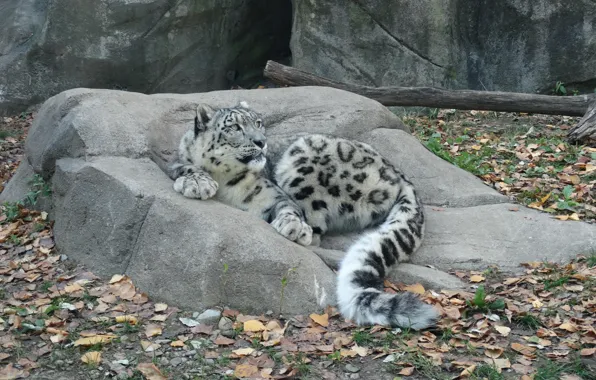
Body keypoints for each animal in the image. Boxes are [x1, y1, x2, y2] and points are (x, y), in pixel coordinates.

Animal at [168, 101, 438, 330]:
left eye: (258, 122)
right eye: (234, 127)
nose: (261, 142)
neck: (226, 179)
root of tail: (401, 176)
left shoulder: (273, 195)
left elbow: (288, 208)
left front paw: (293, 226)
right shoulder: (179, 160)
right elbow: (184, 166)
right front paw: (198, 183)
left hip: (303, 157)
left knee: (316, 229)